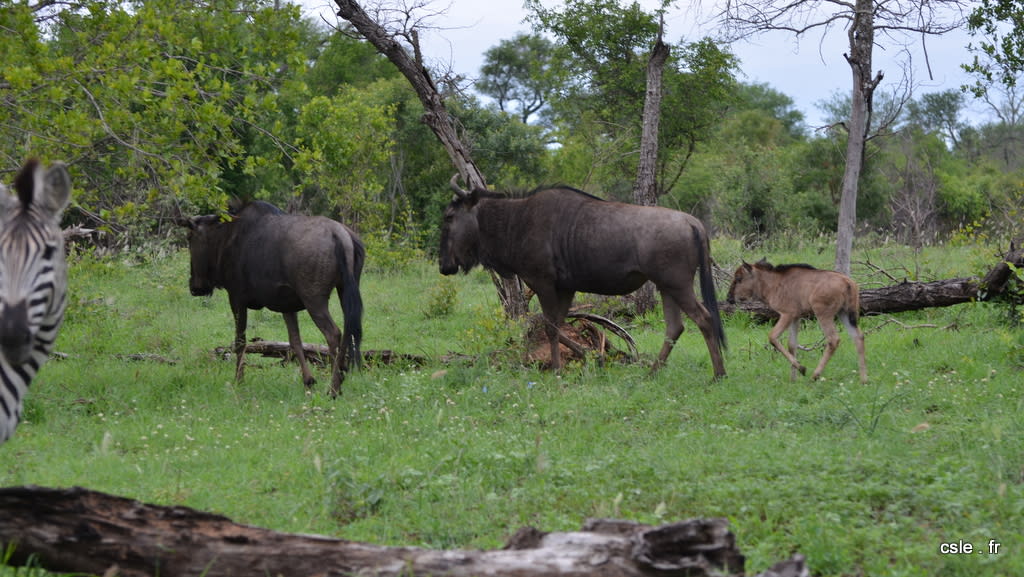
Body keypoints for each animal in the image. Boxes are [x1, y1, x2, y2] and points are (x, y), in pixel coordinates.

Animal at [729, 262, 864, 383]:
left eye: (739, 278)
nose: (729, 298)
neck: (771, 284)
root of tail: (848, 283)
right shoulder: (796, 317)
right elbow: (792, 345)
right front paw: (793, 378)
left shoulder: (787, 314)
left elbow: (772, 337)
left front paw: (802, 368)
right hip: (845, 314)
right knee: (858, 337)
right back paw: (864, 379)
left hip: (823, 314)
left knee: (833, 339)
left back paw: (815, 375)